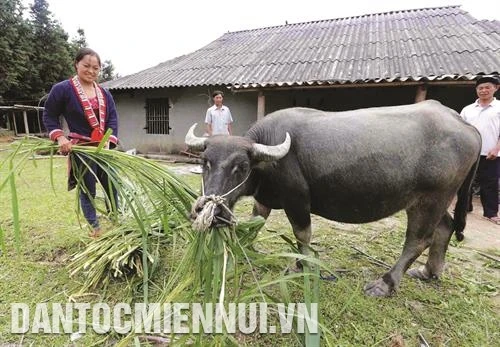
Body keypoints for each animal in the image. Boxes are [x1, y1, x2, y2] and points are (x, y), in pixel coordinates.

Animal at [187, 100, 480, 296]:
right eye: (205, 162)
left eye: (242, 167)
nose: (212, 212)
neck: (270, 161)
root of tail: (466, 125)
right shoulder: (265, 199)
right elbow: (257, 221)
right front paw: (245, 246)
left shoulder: (297, 201)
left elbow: (302, 235)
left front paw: (300, 265)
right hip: (437, 200)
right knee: (445, 227)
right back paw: (430, 272)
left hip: (428, 200)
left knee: (417, 241)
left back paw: (384, 284)